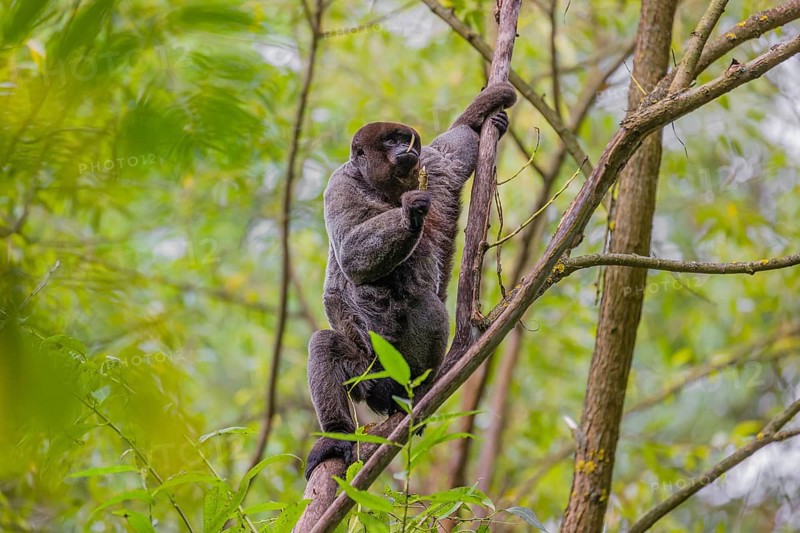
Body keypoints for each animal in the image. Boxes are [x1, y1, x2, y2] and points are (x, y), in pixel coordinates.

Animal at [305, 83, 517, 479]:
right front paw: (409, 214)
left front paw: (487, 118)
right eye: (390, 141)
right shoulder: (340, 183)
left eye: (406, 140)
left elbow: (454, 148)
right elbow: (351, 255)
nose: (405, 148)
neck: (387, 190)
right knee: (326, 343)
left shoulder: (430, 166)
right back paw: (336, 436)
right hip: (368, 371)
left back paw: (413, 393)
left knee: (426, 303)